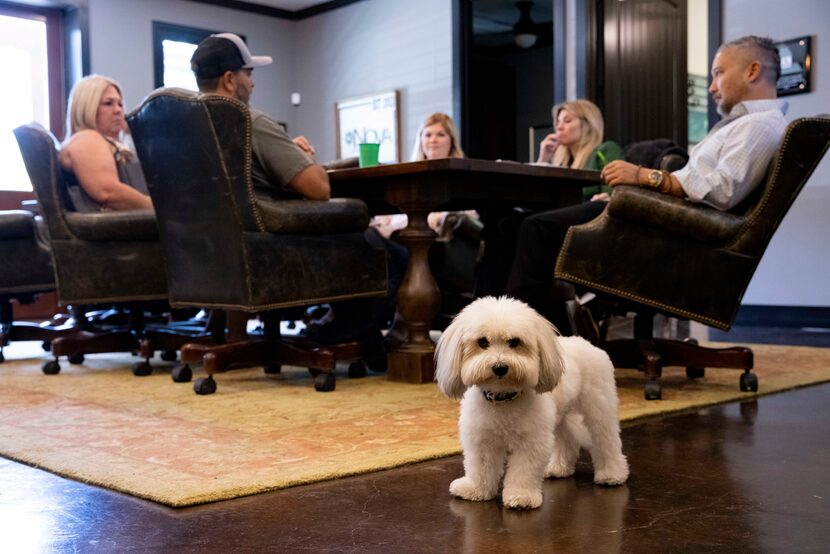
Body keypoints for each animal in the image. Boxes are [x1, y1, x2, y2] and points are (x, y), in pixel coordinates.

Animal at [438, 296, 628, 506]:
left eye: (514, 342)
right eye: (482, 342)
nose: (500, 367)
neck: (503, 399)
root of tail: (585, 341)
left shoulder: (531, 442)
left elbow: (524, 471)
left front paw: (522, 496)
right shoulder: (482, 440)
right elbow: (480, 468)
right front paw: (476, 490)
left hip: (598, 410)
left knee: (606, 441)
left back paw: (612, 473)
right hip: (560, 417)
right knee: (567, 441)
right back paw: (558, 467)